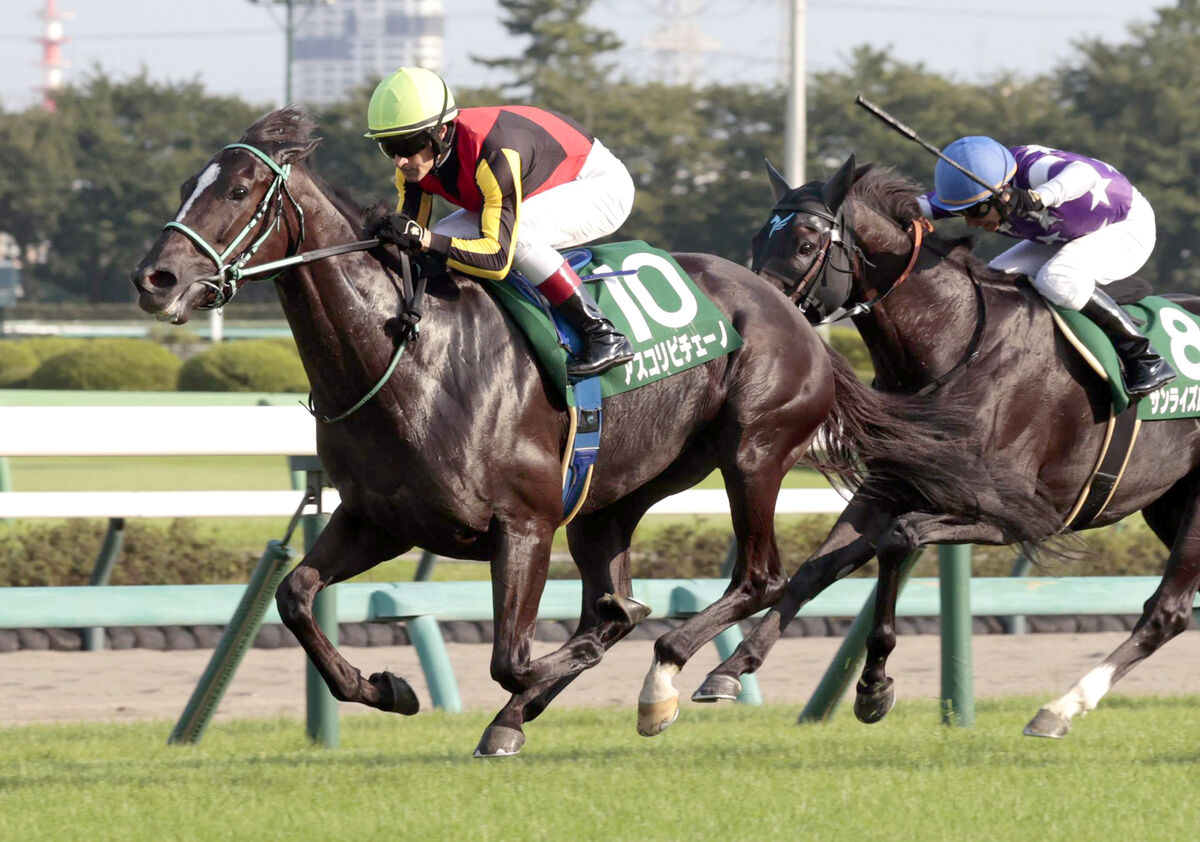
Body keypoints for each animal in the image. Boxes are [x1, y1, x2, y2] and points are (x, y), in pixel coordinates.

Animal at [131, 109, 974, 753]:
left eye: (239, 190)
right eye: (186, 186)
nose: (155, 279)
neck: (410, 355)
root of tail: (792, 311)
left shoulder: (524, 525)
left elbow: (514, 657)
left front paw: (539, 689)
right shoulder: (379, 518)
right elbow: (296, 596)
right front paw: (388, 686)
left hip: (754, 449)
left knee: (756, 577)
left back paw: (670, 680)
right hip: (616, 496)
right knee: (619, 597)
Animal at [700, 158, 1200, 738]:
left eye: (804, 244)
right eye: (758, 238)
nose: (760, 316)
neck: (955, 343)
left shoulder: (1015, 512)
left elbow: (899, 538)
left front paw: (874, 684)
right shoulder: (889, 485)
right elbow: (814, 570)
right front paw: (730, 669)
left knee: (1164, 612)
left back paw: (1058, 708)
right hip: (1168, 501)